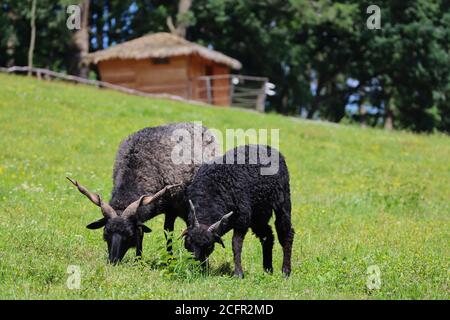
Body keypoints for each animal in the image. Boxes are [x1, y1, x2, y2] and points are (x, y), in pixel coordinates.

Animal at [67, 122, 219, 262]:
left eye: (129, 235)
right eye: (105, 234)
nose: (113, 261)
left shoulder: (175, 207)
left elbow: (169, 232)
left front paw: (171, 260)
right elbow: (147, 233)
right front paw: (139, 260)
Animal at [183, 145, 296, 278]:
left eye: (209, 245)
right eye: (188, 240)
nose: (195, 264)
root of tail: (269, 148)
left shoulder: (242, 220)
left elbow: (236, 244)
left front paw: (238, 273)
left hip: (283, 201)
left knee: (286, 234)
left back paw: (286, 271)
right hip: (258, 215)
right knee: (268, 236)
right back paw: (267, 270)